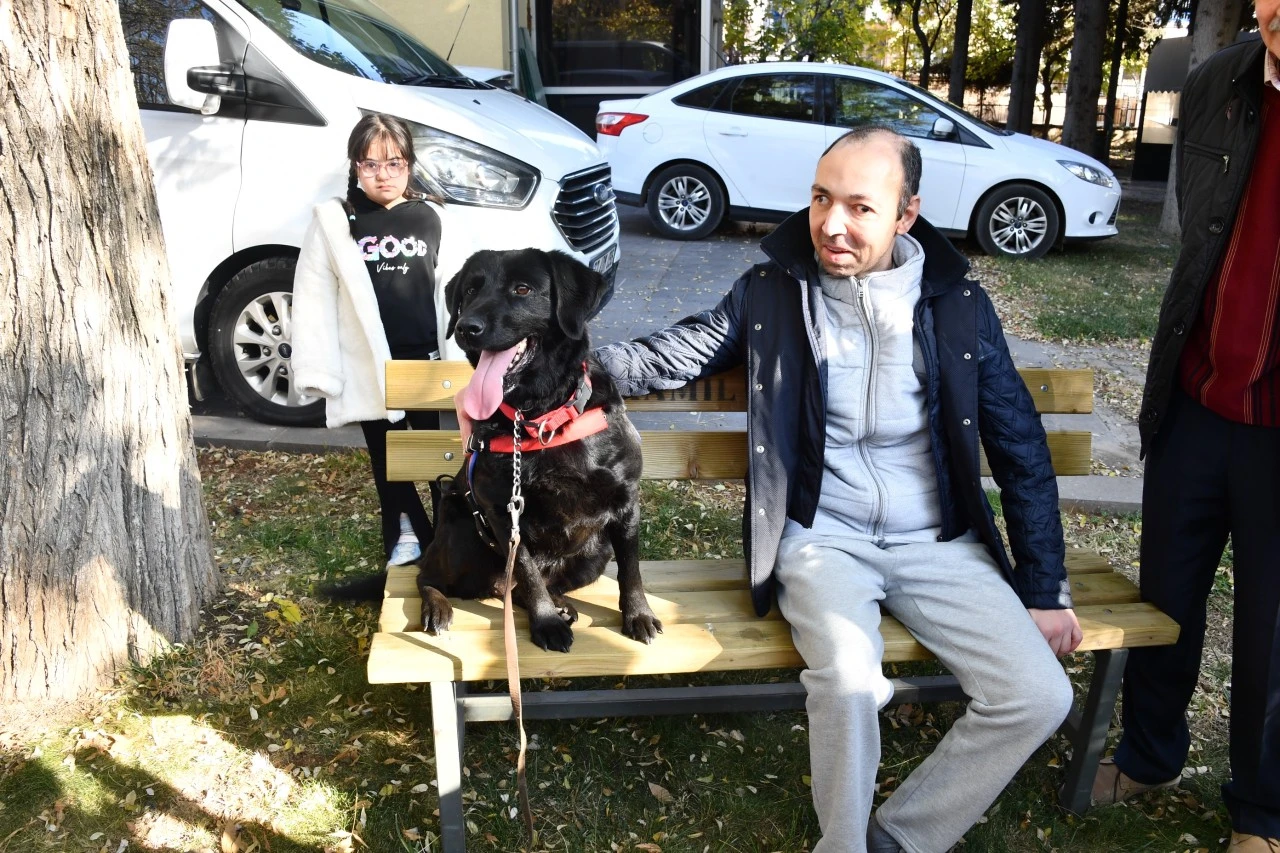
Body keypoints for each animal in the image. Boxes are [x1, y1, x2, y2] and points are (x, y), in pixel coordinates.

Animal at [414, 248, 662, 653]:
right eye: (469, 291)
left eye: (523, 289)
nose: (466, 327)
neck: (542, 418)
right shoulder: (503, 512)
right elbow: (528, 573)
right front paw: (546, 622)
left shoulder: (626, 502)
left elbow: (631, 568)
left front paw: (638, 614)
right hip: (459, 532)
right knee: (429, 575)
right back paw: (438, 606)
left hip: (596, 552)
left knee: (526, 586)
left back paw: (561, 603)